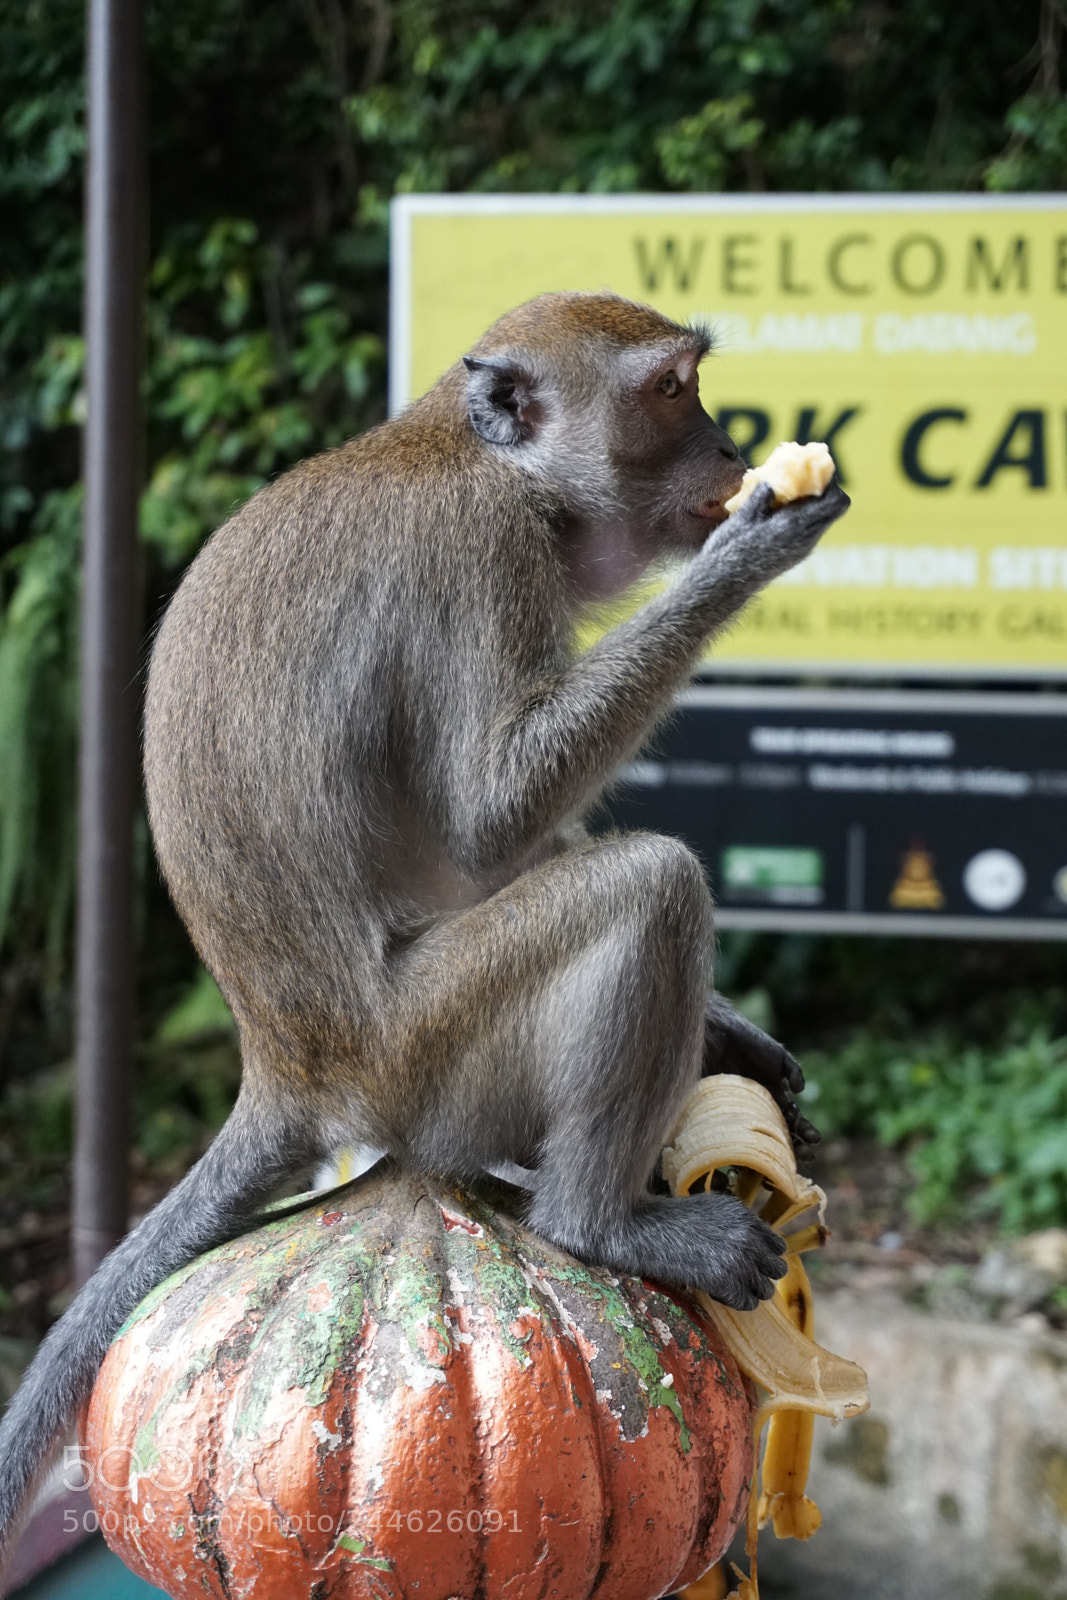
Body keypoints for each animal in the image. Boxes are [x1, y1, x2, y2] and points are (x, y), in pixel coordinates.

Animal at [0, 291, 848, 1560]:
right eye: (668, 391)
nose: (727, 446)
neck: (482, 461)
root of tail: (287, 1071)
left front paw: (729, 1024)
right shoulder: (480, 554)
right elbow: (490, 814)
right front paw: (748, 549)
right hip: (428, 1054)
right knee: (647, 885)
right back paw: (601, 1222)